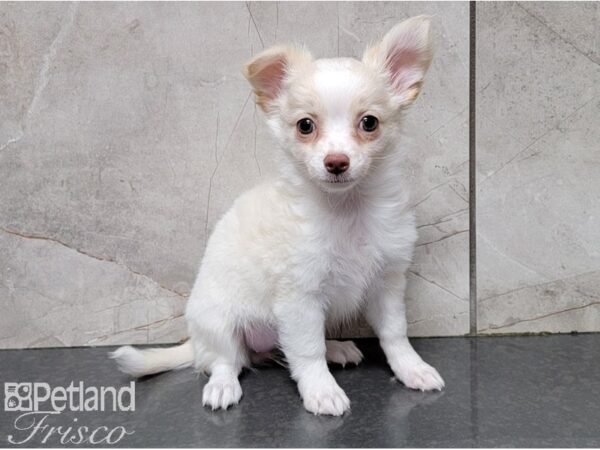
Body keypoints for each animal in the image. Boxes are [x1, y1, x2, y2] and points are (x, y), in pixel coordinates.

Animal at [111, 15, 446, 416]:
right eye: (305, 126)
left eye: (369, 123)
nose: (336, 162)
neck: (346, 209)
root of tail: (196, 340)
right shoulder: (298, 297)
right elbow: (307, 350)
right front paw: (322, 390)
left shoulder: (387, 283)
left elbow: (395, 334)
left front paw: (412, 369)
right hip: (218, 322)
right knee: (226, 361)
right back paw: (223, 387)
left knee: (276, 351)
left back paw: (336, 348)